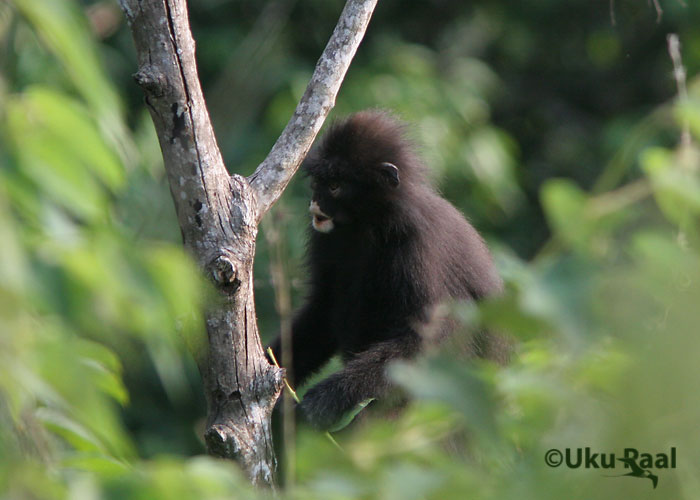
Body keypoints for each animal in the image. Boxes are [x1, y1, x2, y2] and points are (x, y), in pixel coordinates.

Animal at [270, 109, 508, 430]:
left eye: (334, 186)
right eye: (317, 183)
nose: (315, 204)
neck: (370, 223)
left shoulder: (415, 240)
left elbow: (430, 334)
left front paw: (322, 401)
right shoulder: (326, 236)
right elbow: (323, 309)